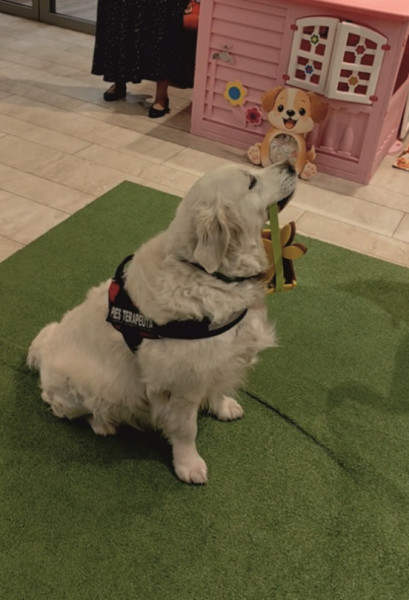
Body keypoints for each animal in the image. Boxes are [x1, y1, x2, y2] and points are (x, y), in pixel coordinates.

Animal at [27, 161, 297, 484]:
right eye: (251, 181)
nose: (291, 165)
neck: (209, 274)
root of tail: (44, 350)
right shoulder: (181, 383)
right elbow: (186, 429)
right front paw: (188, 465)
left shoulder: (220, 359)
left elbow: (217, 387)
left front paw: (223, 406)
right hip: (88, 385)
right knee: (62, 404)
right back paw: (103, 424)